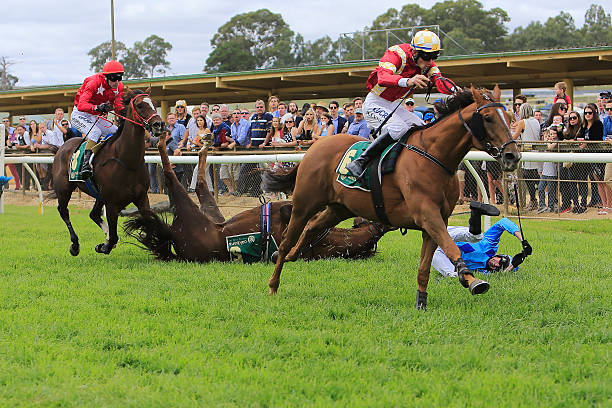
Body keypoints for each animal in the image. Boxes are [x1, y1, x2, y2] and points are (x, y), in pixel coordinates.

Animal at [52, 89, 164, 255]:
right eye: (139, 105)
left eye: (155, 103)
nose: (159, 124)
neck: (127, 161)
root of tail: (63, 145)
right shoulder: (112, 203)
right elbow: (114, 237)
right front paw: (104, 245)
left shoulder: (142, 198)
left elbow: (149, 226)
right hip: (64, 188)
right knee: (63, 211)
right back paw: (75, 244)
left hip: (99, 194)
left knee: (93, 213)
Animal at [124, 135, 392, 262]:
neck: (323, 241)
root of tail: (173, 239)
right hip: (211, 211)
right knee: (200, 184)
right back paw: (203, 146)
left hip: (190, 214)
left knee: (177, 178)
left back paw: (162, 139)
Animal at [262, 86, 520, 310]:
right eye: (487, 117)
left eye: (508, 116)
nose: (512, 156)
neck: (434, 157)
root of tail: (314, 147)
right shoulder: (427, 215)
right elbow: (450, 247)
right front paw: (473, 280)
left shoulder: (436, 221)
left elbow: (425, 267)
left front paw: (421, 302)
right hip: (304, 203)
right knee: (287, 240)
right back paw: (274, 283)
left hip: (340, 208)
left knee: (312, 227)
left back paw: (294, 256)